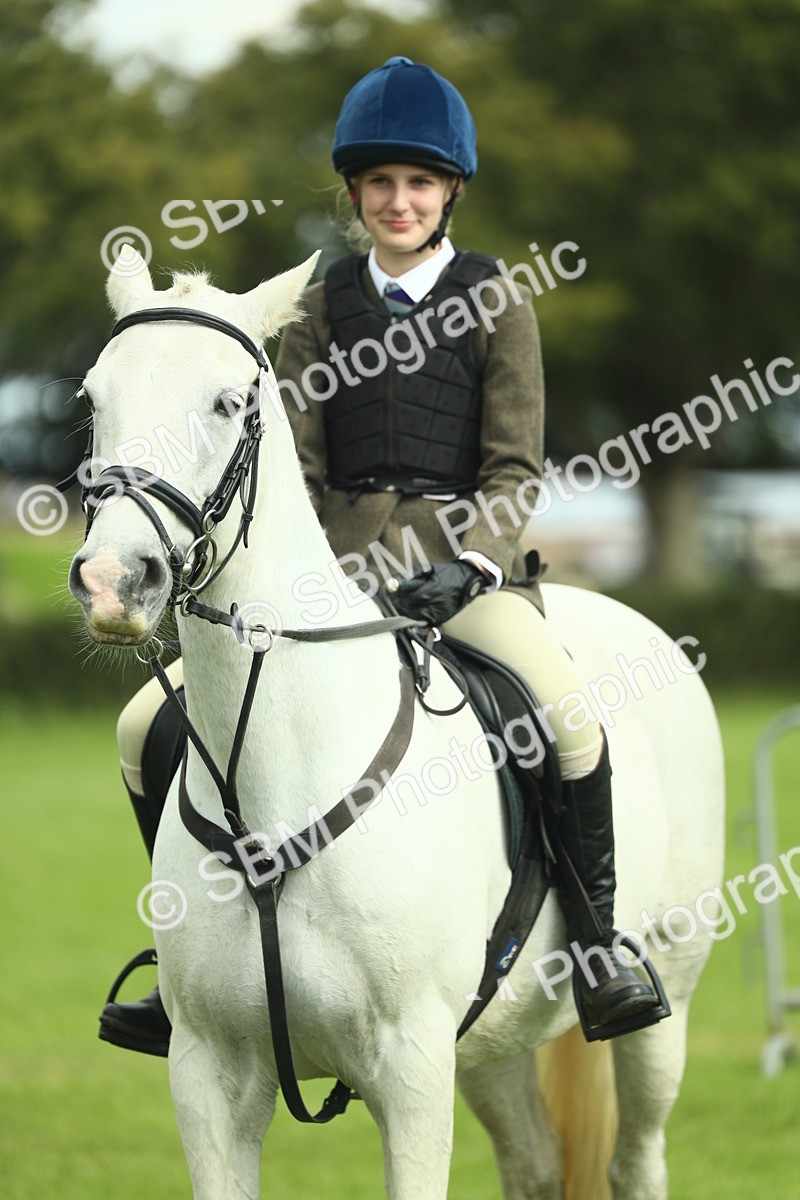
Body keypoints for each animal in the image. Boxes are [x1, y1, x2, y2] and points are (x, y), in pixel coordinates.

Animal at [68, 244, 725, 1200]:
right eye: (93, 398)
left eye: (229, 402)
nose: (115, 582)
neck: (276, 785)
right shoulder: (209, 1077)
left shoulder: (411, 1071)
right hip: (492, 1042)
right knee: (534, 1160)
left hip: (662, 997)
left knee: (637, 1157)